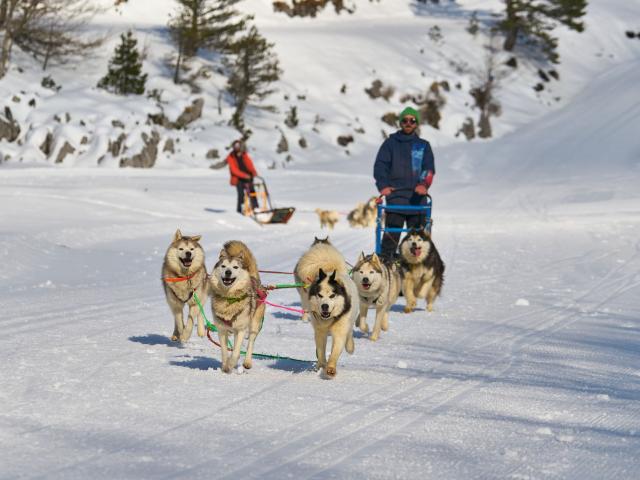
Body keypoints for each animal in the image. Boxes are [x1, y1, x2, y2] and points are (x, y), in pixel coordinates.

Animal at [208, 242, 262, 374]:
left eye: (235, 267)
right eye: (223, 266)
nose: (228, 272)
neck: (229, 298)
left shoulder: (240, 329)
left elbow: (236, 352)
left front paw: (231, 365)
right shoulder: (222, 330)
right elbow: (224, 351)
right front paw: (225, 366)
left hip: (254, 325)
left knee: (250, 343)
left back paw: (247, 362)